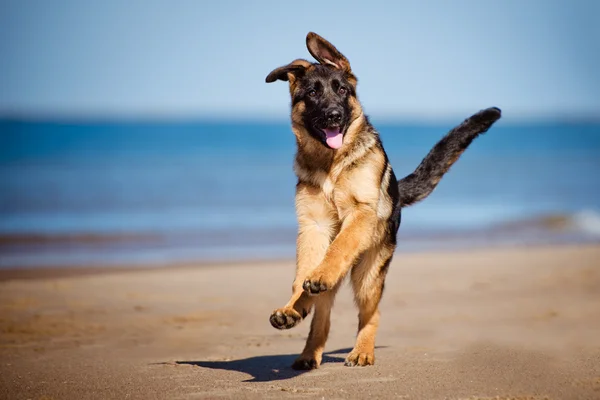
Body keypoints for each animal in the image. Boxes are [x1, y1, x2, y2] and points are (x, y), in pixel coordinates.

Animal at [264, 32, 500, 370]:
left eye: (342, 90)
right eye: (312, 92)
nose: (334, 116)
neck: (332, 163)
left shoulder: (360, 213)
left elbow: (339, 247)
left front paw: (320, 276)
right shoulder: (314, 225)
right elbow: (302, 276)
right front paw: (294, 305)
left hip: (369, 275)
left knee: (371, 313)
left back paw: (362, 350)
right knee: (321, 314)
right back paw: (306, 341)